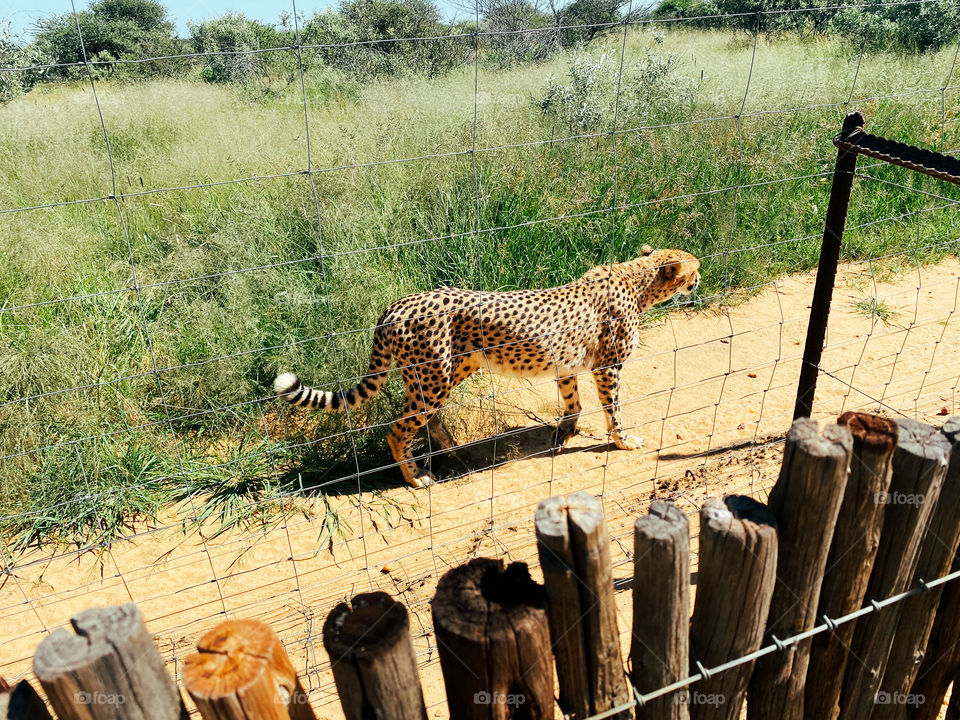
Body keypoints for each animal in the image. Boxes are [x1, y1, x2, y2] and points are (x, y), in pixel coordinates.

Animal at [274, 248, 700, 490]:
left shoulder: (566, 364)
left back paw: (451, 448)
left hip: (444, 373)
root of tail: (398, 304)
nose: (701, 277)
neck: (638, 279)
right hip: (434, 377)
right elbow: (613, 409)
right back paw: (416, 477)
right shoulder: (608, 367)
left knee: (424, 418)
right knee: (398, 429)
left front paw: (565, 432)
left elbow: (572, 402)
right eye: (693, 267)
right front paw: (623, 440)